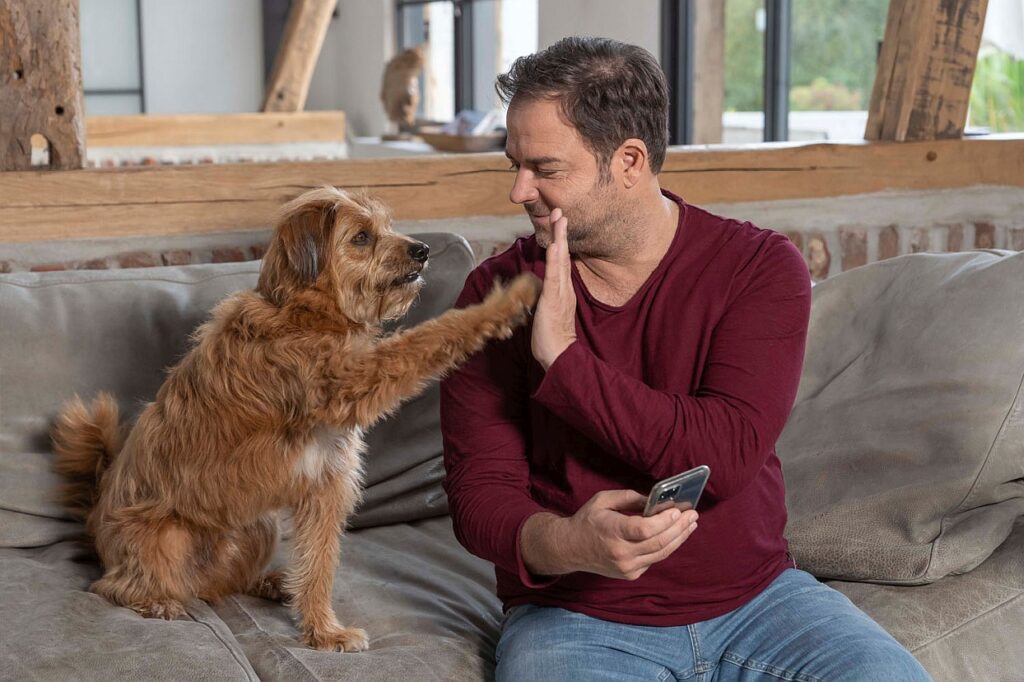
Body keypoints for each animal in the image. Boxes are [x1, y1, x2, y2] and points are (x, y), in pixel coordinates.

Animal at [51, 184, 540, 647]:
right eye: (361, 237)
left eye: (386, 225)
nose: (422, 249)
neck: (307, 312)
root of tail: (95, 517)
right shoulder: (351, 385)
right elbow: (426, 338)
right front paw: (504, 302)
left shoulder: (326, 484)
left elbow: (319, 563)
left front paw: (322, 631)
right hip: (168, 538)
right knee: (114, 587)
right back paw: (158, 602)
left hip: (259, 526)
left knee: (221, 584)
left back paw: (273, 584)